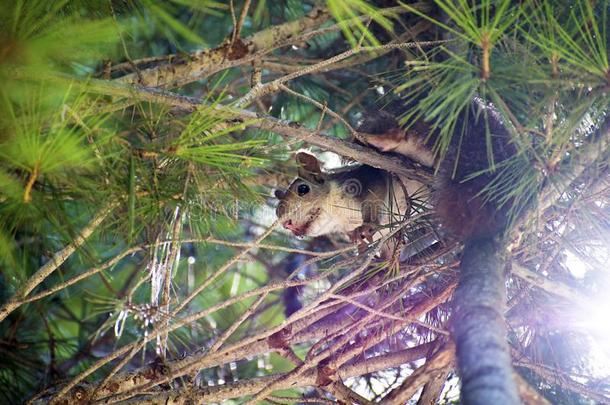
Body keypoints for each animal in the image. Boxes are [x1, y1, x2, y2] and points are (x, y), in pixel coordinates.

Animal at [276, 96, 516, 249]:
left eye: (303, 189)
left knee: (403, 133)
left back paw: (375, 140)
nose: (284, 222)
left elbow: (374, 198)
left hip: (419, 128)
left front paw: (368, 225)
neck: (339, 215)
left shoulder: (365, 181)